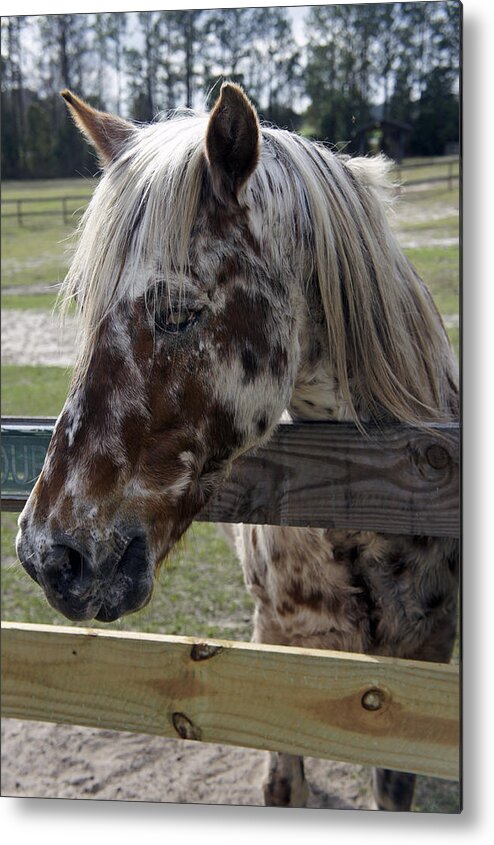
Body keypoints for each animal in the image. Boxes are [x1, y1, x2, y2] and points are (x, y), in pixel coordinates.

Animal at [18, 84, 460, 812]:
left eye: (178, 312)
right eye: (83, 304)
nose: (49, 558)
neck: (378, 497)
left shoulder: (416, 666)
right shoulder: (277, 645)